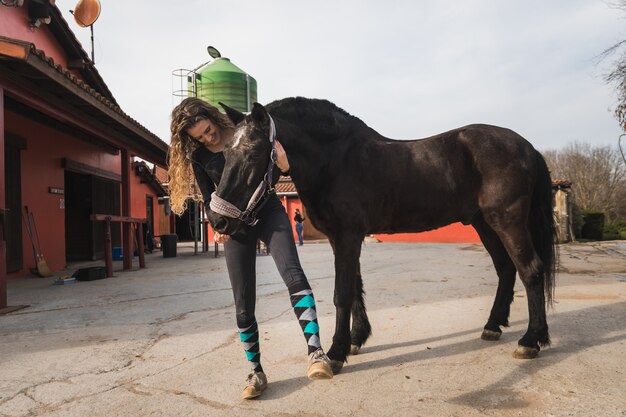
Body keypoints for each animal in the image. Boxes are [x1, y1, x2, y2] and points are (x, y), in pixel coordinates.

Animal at [210, 98, 556, 374]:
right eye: (225, 152)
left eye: (255, 153)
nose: (217, 220)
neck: (334, 159)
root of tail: (528, 147)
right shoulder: (342, 239)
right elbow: (355, 288)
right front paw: (356, 339)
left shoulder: (348, 236)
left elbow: (341, 294)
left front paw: (336, 352)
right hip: (484, 224)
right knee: (506, 269)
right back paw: (493, 326)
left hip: (507, 221)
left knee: (530, 270)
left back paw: (531, 340)